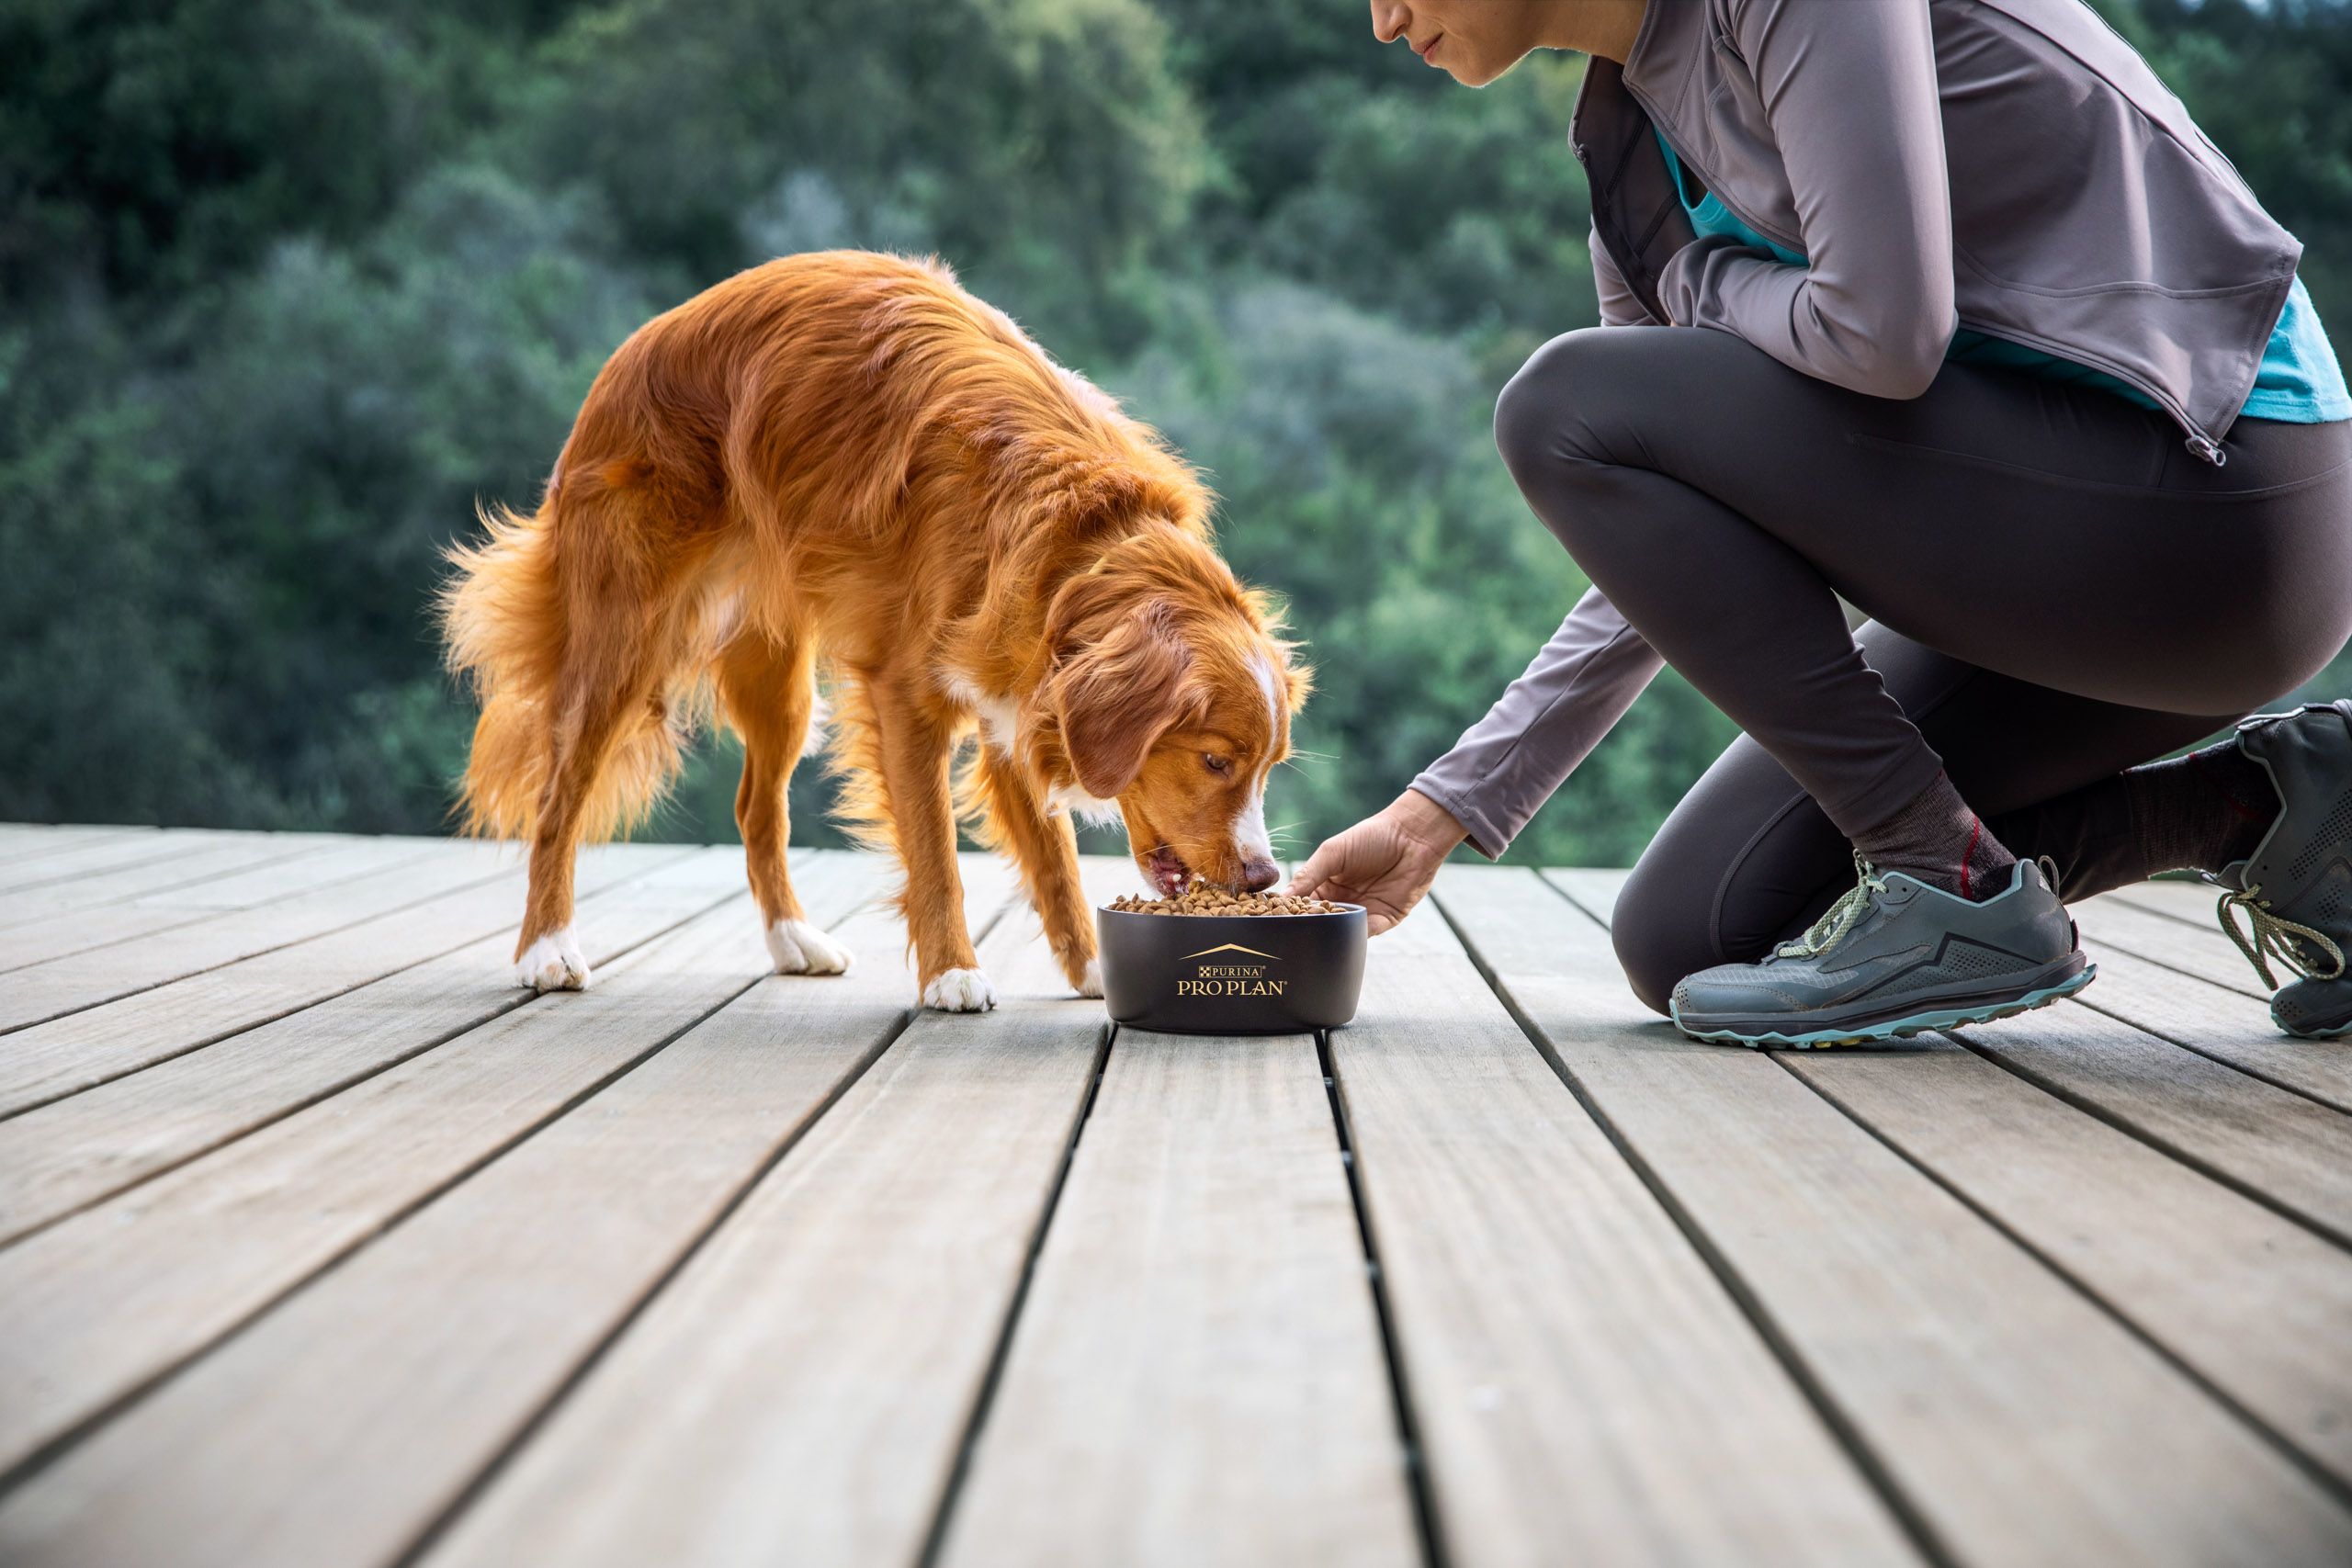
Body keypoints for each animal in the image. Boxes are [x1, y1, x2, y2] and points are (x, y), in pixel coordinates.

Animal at [437, 245, 1307, 1006]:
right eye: (1215, 760)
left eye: (1268, 766)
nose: (1265, 877)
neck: (1084, 546)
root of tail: (632, 349)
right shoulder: (908, 695)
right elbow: (935, 850)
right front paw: (953, 974)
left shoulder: (1018, 693)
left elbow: (1055, 859)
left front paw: (1094, 967)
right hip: (624, 643)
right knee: (559, 796)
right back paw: (547, 949)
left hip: (781, 686)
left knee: (757, 808)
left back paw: (792, 937)